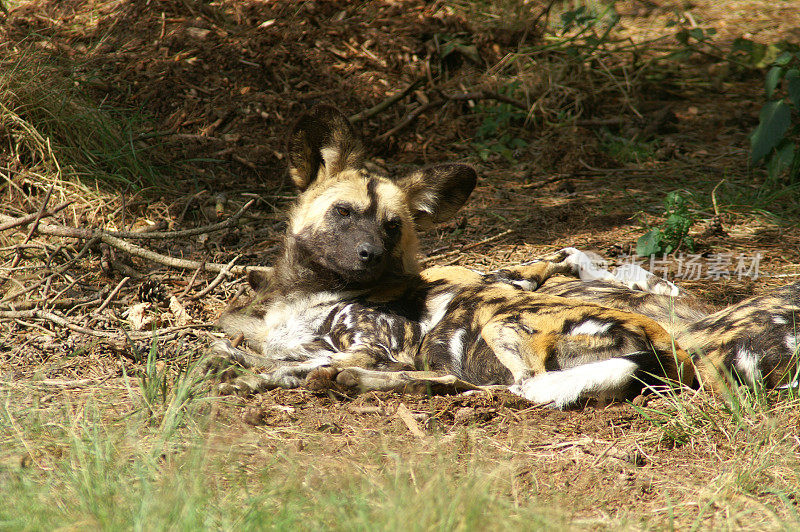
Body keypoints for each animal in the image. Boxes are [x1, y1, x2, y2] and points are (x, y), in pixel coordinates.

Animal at [212, 103, 800, 408]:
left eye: (392, 226)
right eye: (343, 213)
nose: (368, 255)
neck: (310, 297)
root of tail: (666, 346)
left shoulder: (381, 348)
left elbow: (300, 362)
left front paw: (258, 375)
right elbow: (271, 356)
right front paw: (246, 367)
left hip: (504, 322)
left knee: (500, 386)